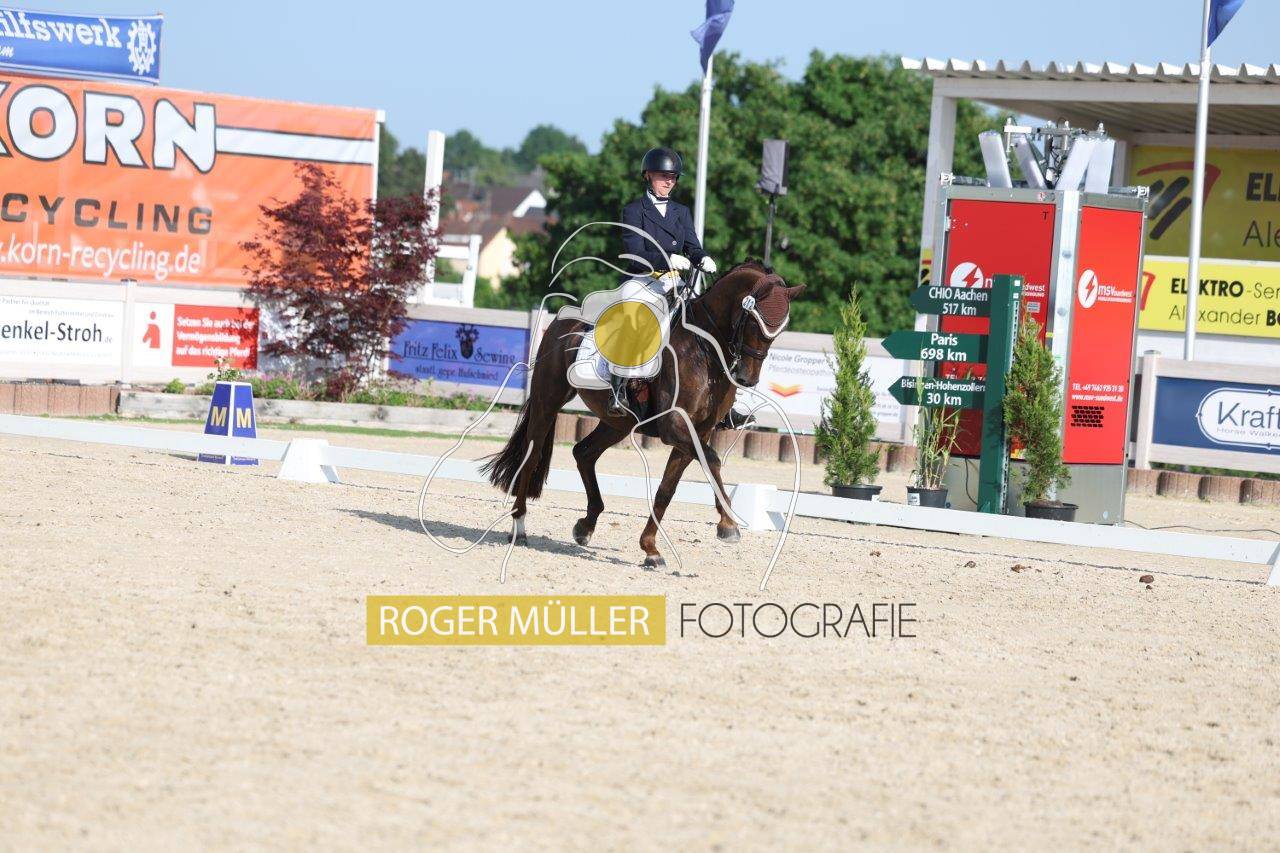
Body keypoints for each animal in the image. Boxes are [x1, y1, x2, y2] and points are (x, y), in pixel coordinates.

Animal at [479, 261, 804, 568]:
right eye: (753, 322)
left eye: (778, 332)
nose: (747, 379)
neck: (704, 349)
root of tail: (560, 321)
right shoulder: (675, 427)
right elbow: (712, 461)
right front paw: (728, 525)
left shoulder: (697, 432)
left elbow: (667, 489)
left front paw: (651, 549)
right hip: (548, 402)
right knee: (532, 456)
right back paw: (519, 527)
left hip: (618, 423)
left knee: (583, 452)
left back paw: (585, 526)